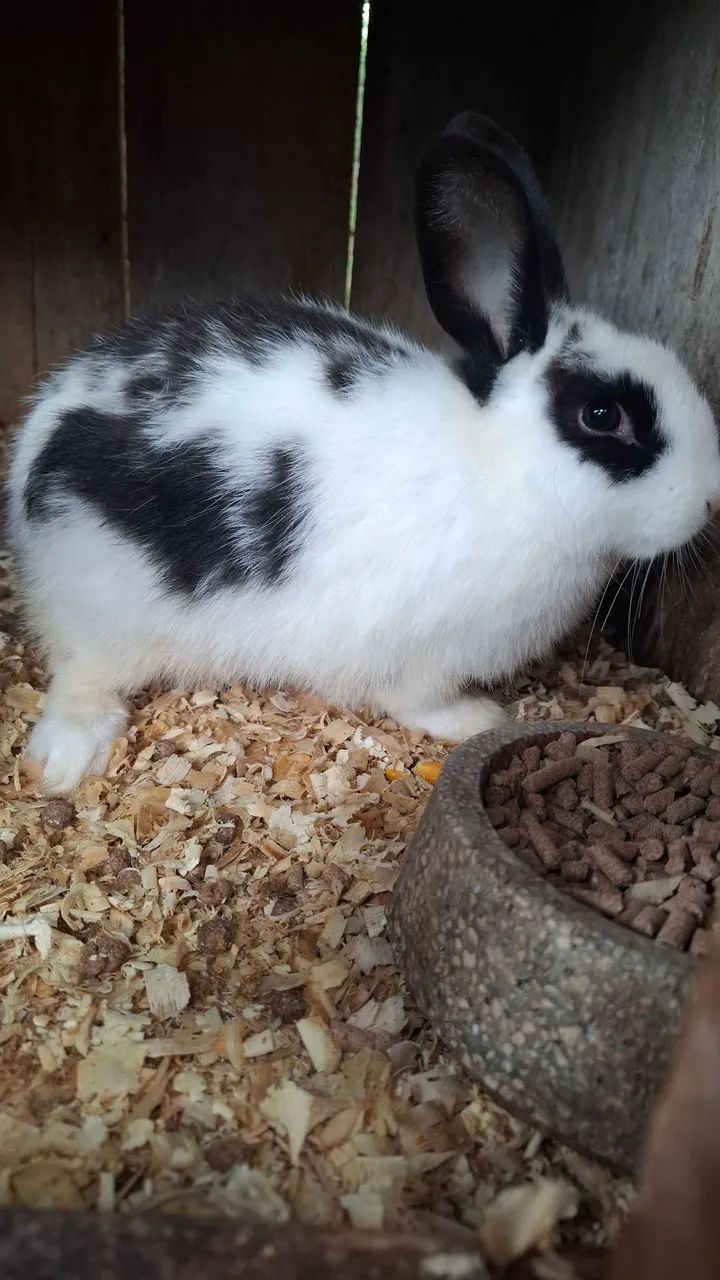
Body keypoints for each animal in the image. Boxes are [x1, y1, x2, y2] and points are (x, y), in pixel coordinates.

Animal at [8, 112, 720, 794]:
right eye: (602, 416)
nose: (711, 500)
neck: (500, 468)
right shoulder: (419, 652)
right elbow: (416, 700)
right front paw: (478, 718)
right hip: (104, 607)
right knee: (81, 671)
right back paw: (68, 758)